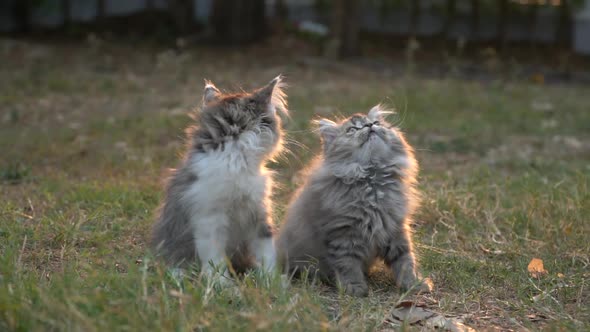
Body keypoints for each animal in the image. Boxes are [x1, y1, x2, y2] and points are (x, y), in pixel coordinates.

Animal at [151, 76, 288, 280]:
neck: (234, 159)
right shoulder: (209, 218)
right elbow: (214, 259)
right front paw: (222, 283)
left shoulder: (259, 214)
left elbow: (266, 253)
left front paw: (273, 281)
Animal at [276, 105, 432, 296]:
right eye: (352, 129)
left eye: (376, 122)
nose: (369, 126)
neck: (372, 182)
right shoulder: (343, 234)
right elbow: (348, 265)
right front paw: (355, 288)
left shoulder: (395, 227)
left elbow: (405, 260)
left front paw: (414, 284)